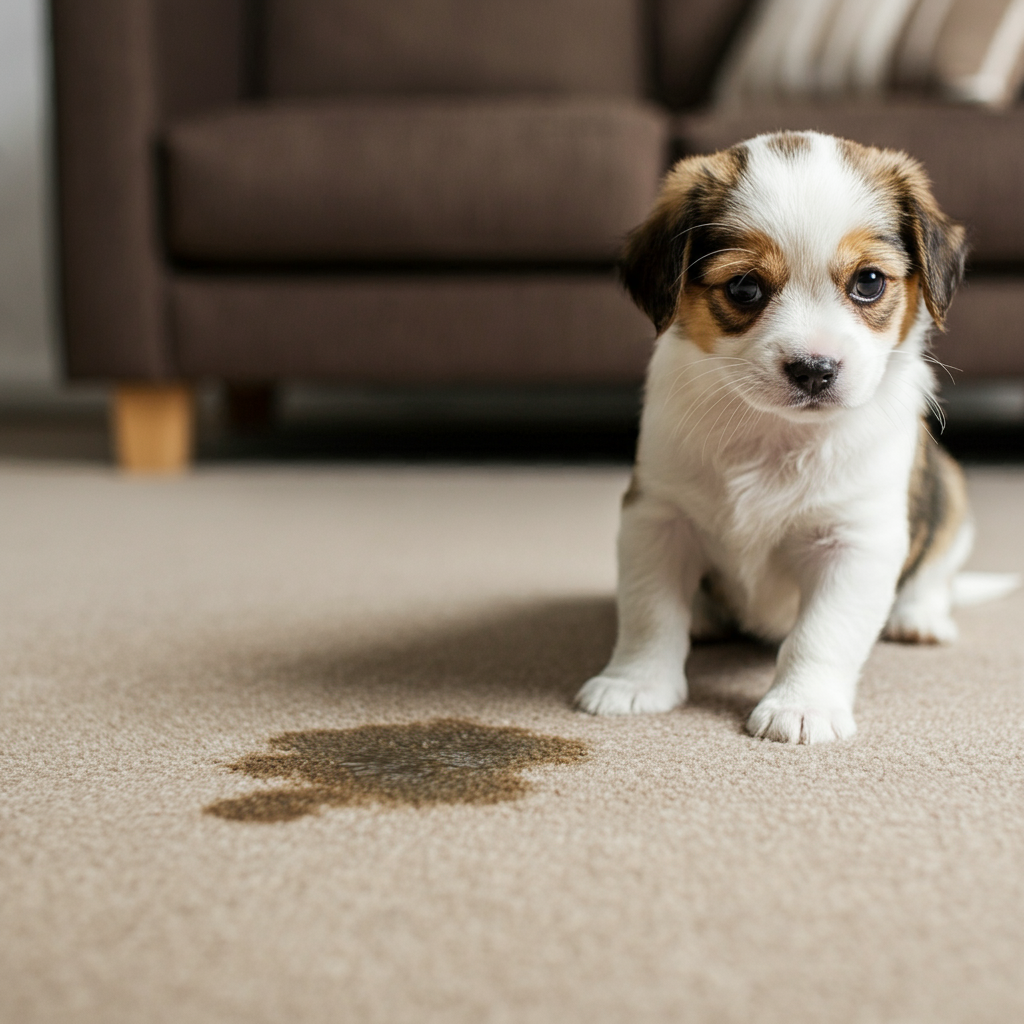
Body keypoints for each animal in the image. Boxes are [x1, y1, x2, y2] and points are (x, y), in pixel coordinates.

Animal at [577, 132, 1015, 749]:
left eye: (869, 282)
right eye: (744, 286)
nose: (814, 369)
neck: (776, 435)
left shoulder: (855, 541)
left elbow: (822, 634)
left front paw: (802, 705)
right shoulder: (656, 517)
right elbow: (648, 611)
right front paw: (634, 682)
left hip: (949, 490)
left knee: (936, 569)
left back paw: (919, 616)